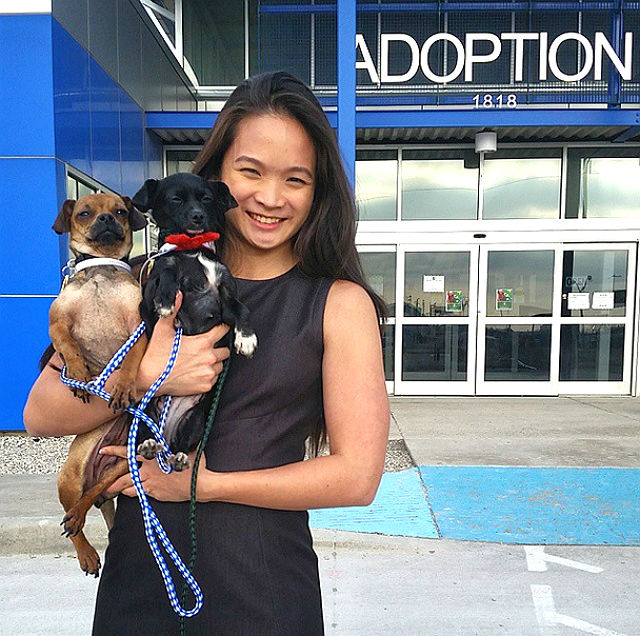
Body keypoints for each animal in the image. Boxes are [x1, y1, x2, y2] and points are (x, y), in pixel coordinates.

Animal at [49, 194, 148, 576]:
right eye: (84, 213)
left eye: (120, 211)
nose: (106, 220)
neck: (100, 273)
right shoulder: (57, 320)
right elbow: (67, 344)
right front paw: (78, 372)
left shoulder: (139, 323)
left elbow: (131, 356)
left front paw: (123, 384)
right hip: (69, 475)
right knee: (73, 520)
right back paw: (87, 553)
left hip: (126, 463)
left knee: (88, 500)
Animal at [132, 171, 258, 470]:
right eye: (175, 199)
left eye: (207, 199)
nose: (198, 216)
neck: (193, 249)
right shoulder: (148, 299)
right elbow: (167, 271)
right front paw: (167, 300)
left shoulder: (225, 300)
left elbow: (243, 308)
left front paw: (246, 338)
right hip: (141, 412)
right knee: (145, 433)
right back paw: (148, 444)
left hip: (196, 421)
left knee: (179, 445)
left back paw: (176, 457)